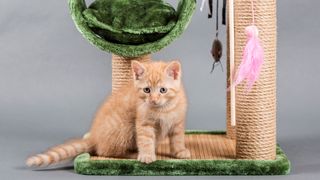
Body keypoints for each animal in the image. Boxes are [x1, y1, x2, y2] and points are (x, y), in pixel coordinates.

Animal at [26, 60, 190, 167]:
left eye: (163, 90)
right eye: (146, 90)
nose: (154, 100)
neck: (164, 109)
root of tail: (94, 136)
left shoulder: (177, 122)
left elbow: (177, 138)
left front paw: (180, 151)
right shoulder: (143, 123)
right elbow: (145, 139)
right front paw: (147, 155)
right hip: (125, 128)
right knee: (106, 151)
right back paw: (133, 153)